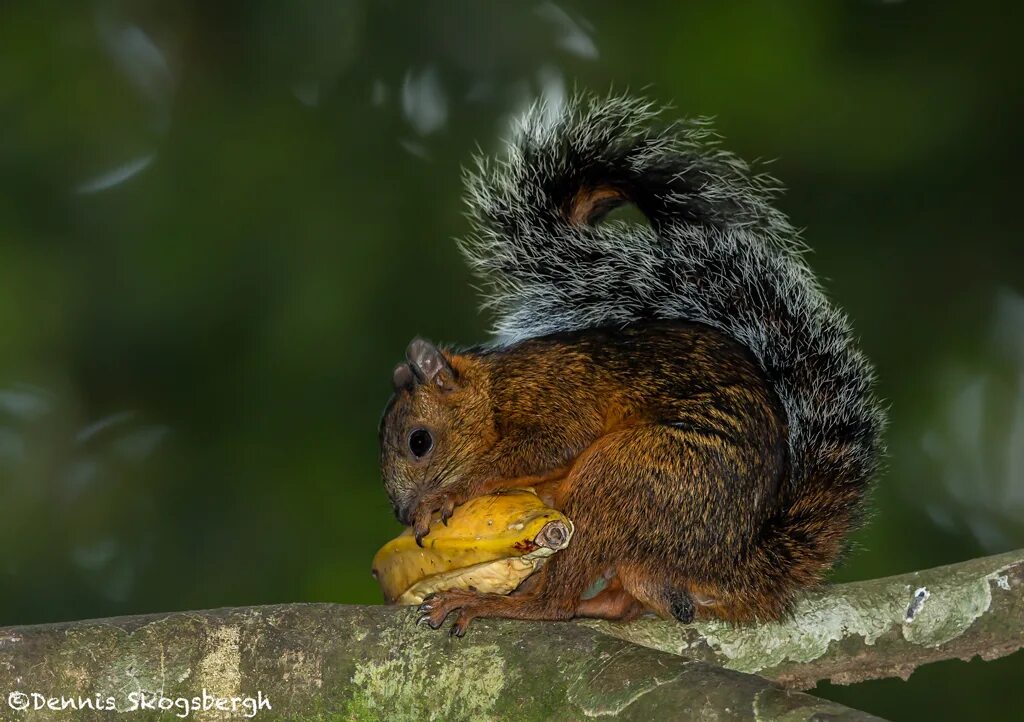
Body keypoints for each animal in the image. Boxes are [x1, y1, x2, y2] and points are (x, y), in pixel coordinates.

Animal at [380, 93, 884, 634]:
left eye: (419, 442)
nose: (403, 514)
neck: (493, 392)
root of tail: (732, 564)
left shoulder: (552, 389)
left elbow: (552, 442)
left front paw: (448, 494)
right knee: (627, 597)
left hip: (633, 475)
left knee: (558, 597)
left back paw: (500, 603)